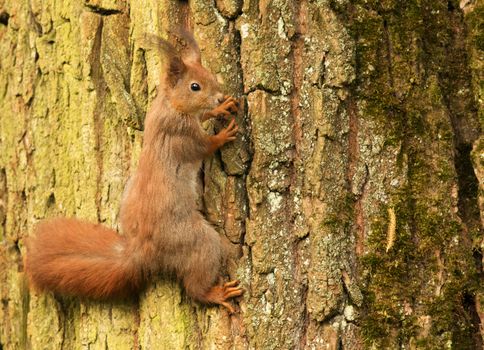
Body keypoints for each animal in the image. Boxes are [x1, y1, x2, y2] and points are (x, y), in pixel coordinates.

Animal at [25, 30, 244, 314]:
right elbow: (205, 146)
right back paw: (216, 293)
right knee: (195, 286)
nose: (218, 96)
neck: (170, 105)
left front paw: (221, 108)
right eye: (195, 86)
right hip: (197, 241)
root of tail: (142, 250)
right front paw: (224, 133)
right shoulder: (182, 136)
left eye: (210, 75)